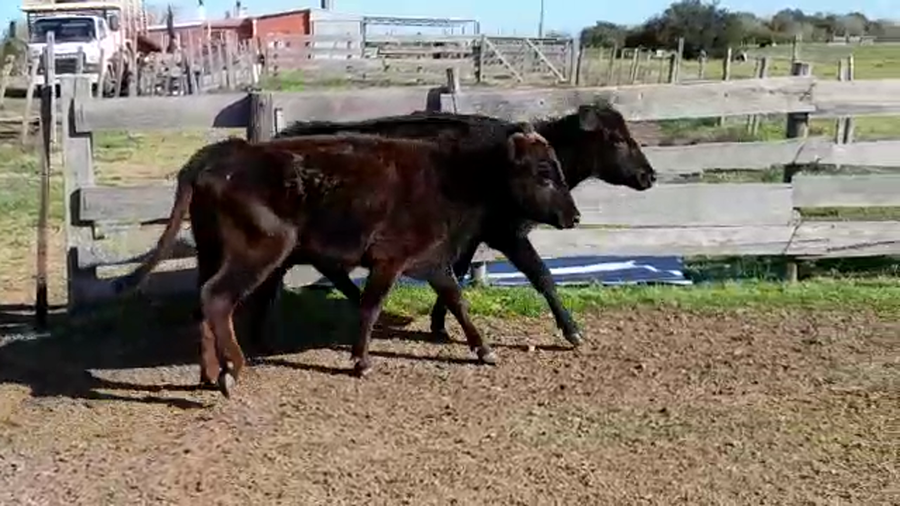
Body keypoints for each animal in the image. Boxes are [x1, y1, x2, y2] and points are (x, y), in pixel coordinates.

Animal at [115, 125, 581, 397]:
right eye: (543, 173)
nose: (574, 216)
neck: (453, 176)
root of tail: (223, 153)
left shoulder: (433, 262)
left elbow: (456, 301)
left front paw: (483, 349)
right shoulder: (391, 259)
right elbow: (372, 306)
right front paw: (361, 361)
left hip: (212, 253)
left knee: (204, 303)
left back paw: (212, 373)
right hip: (258, 252)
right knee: (217, 299)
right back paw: (235, 369)